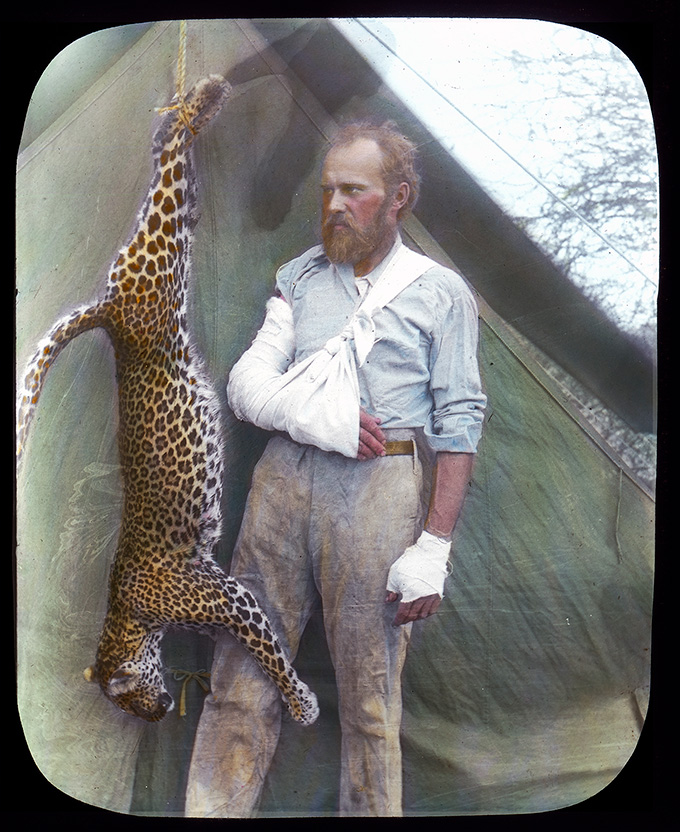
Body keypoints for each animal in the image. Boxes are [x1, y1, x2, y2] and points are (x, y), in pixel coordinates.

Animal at [15, 75, 318, 724]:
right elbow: (256, 642)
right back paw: (193, 108)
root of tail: (108, 312)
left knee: (170, 180)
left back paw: (201, 99)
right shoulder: (222, 597)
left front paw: (301, 703)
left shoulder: (225, 596)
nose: (155, 715)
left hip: (159, 260)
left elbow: (268, 651)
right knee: (174, 174)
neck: (129, 617)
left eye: (131, 698)